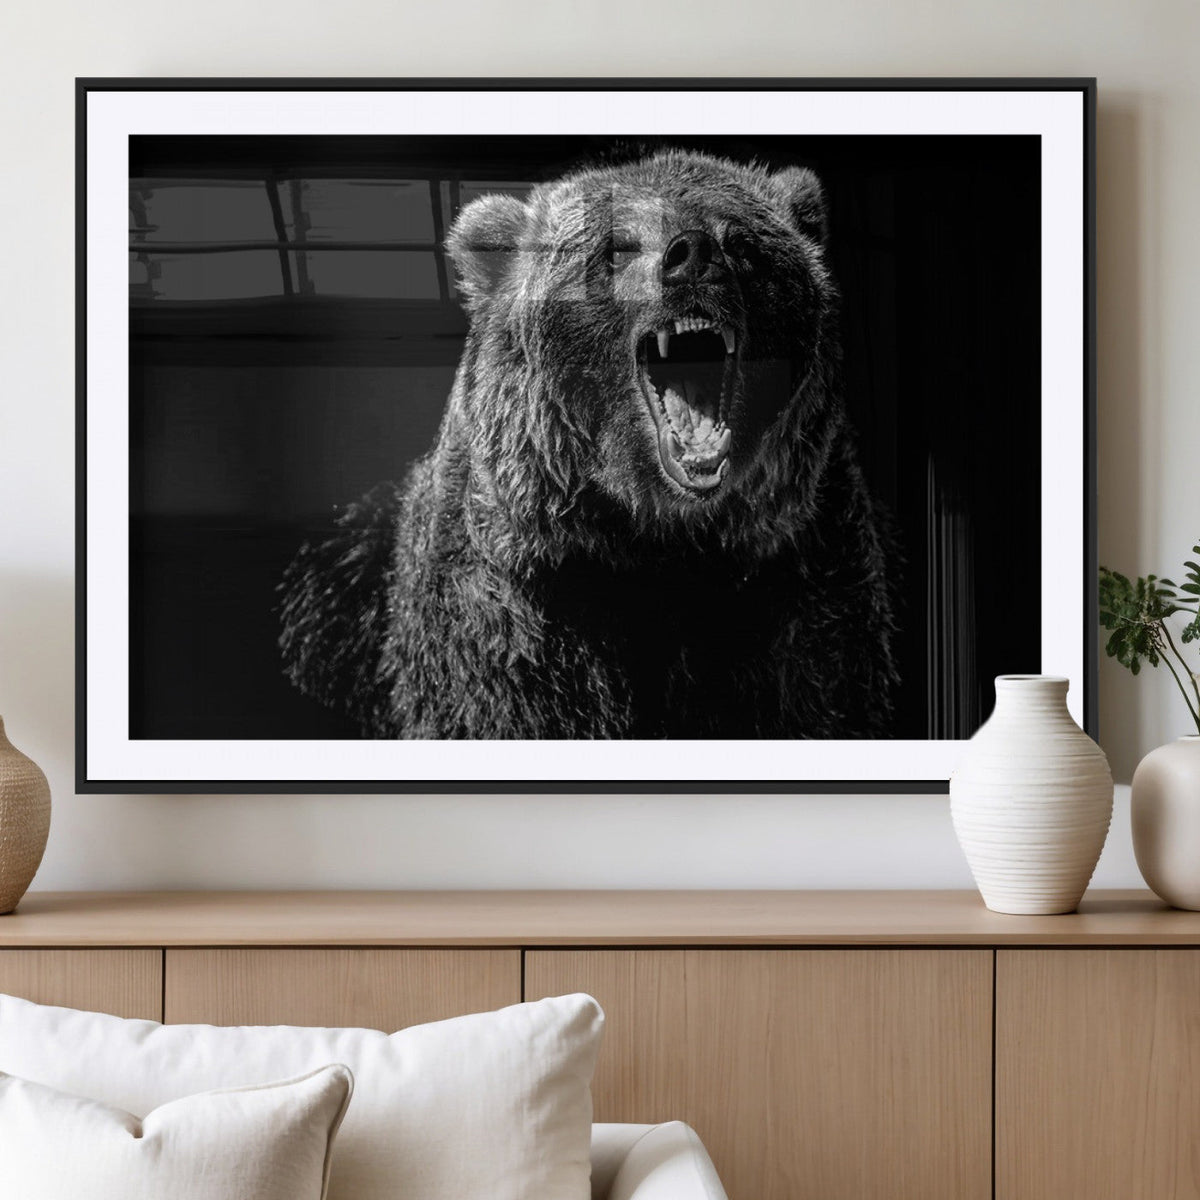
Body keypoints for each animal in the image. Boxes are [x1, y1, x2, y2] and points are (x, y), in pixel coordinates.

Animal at [279, 149, 898, 740]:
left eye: (740, 241)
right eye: (618, 246)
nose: (693, 255)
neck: (657, 536)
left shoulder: (800, 576)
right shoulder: (520, 602)